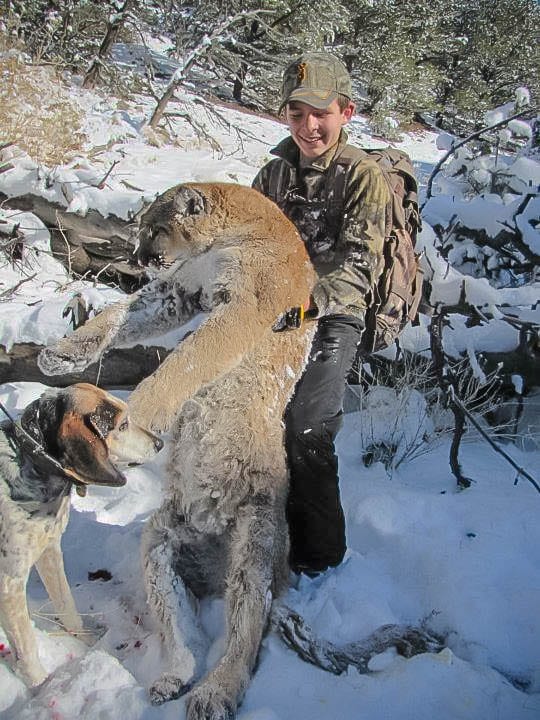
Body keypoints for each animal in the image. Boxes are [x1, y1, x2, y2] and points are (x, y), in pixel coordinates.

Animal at [38, 183, 317, 720]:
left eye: (156, 228)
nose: (139, 258)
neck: (237, 233)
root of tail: (214, 574)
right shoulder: (179, 291)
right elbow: (119, 314)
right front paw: (63, 352)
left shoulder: (242, 306)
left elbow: (187, 363)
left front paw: (134, 414)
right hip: (161, 540)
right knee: (180, 625)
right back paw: (174, 676)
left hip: (255, 544)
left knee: (244, 633)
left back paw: (214, 694)